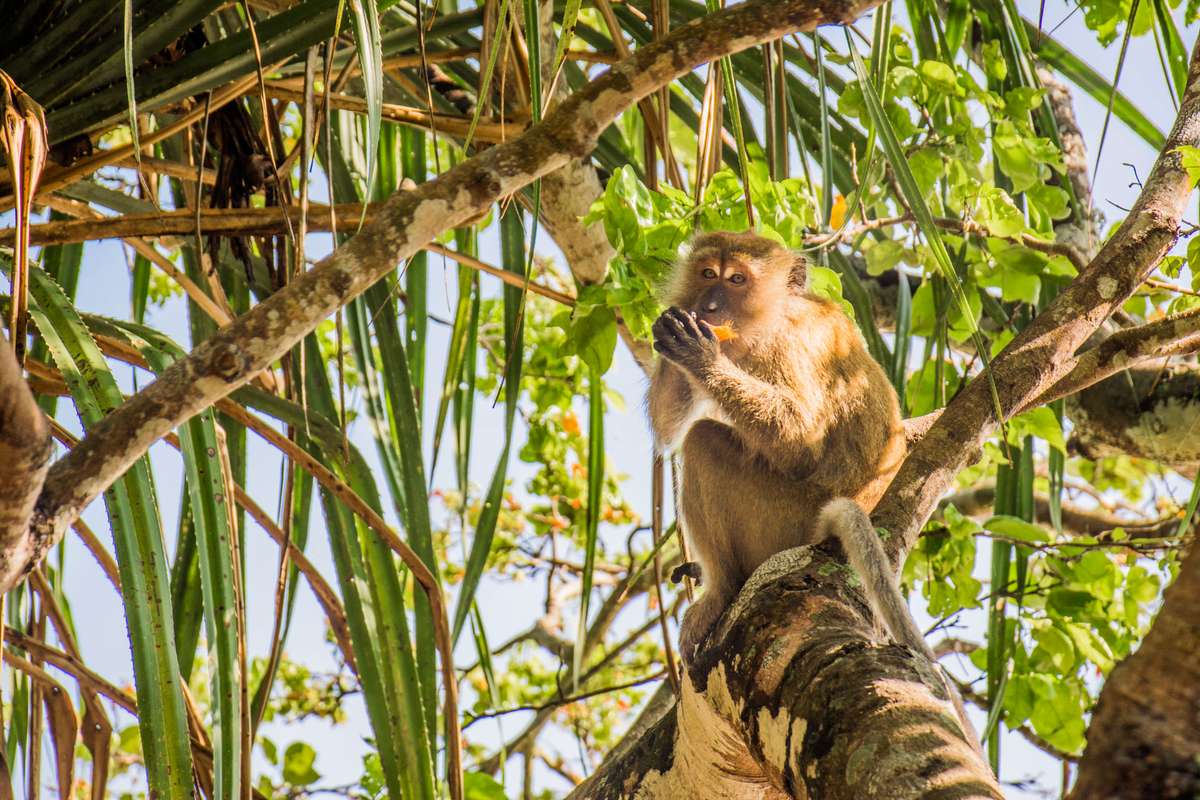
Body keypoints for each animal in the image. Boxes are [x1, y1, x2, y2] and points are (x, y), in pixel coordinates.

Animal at [646, 231, 972, 733]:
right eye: (707, 274)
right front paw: (671, 326)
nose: (709, 305)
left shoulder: (791, 343)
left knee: (703, 441)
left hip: (784, 518)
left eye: (737, 279)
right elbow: (666, 430)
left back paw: (722, 588)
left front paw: (702, 359)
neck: (769, 319)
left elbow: (801, 440)